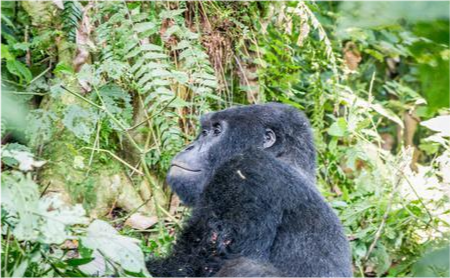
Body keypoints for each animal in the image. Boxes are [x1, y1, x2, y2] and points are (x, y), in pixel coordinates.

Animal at [146, 103, 354, 276]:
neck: (285, 157)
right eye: (204, 131)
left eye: (216, 131)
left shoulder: (248, 171)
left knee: (245, 267)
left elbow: (205, 261)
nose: (189, 147)